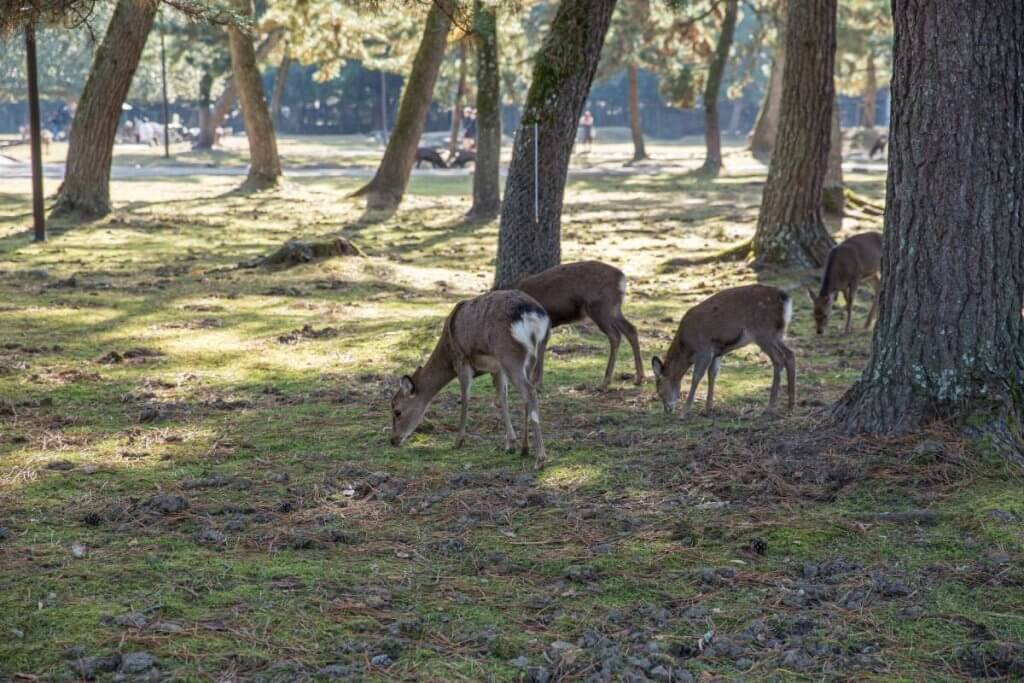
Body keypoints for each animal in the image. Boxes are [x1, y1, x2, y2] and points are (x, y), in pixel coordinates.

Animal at [390, 290, 551, 469]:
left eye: (397, 411)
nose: (393, 440)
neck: (447, 355)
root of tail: (534, 316)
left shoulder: (461, 360)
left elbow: (465, 397)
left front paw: (458, 441)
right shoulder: (496, 368)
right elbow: (502, 399)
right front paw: (510, 444)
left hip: (509, 355)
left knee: (530, 392)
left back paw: (540, 459)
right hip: (532, 357)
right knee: (528, 394)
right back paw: (525, 449)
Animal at [517, 260, 643, 390]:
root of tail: (622, 278)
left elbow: (539, 351)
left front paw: (537, 384)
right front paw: (535, 382)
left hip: (600, 308)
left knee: (615, 336)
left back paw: (605, 383)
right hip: (613, 309)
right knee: (631, 329)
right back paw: (638, 378)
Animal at [651, 284, 795, 417]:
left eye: (659, 391)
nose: (668, 410)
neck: (686, 348)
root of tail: (784, 297)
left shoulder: (704, 349)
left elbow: (696, 377)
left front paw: (685, 412)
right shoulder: (717, 352)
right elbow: (712, 374)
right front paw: (707, 409)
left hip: (763, 332)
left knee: (778, 358)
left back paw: (769, 407)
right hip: (778, 334)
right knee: (790, 354)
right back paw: (790, 404)